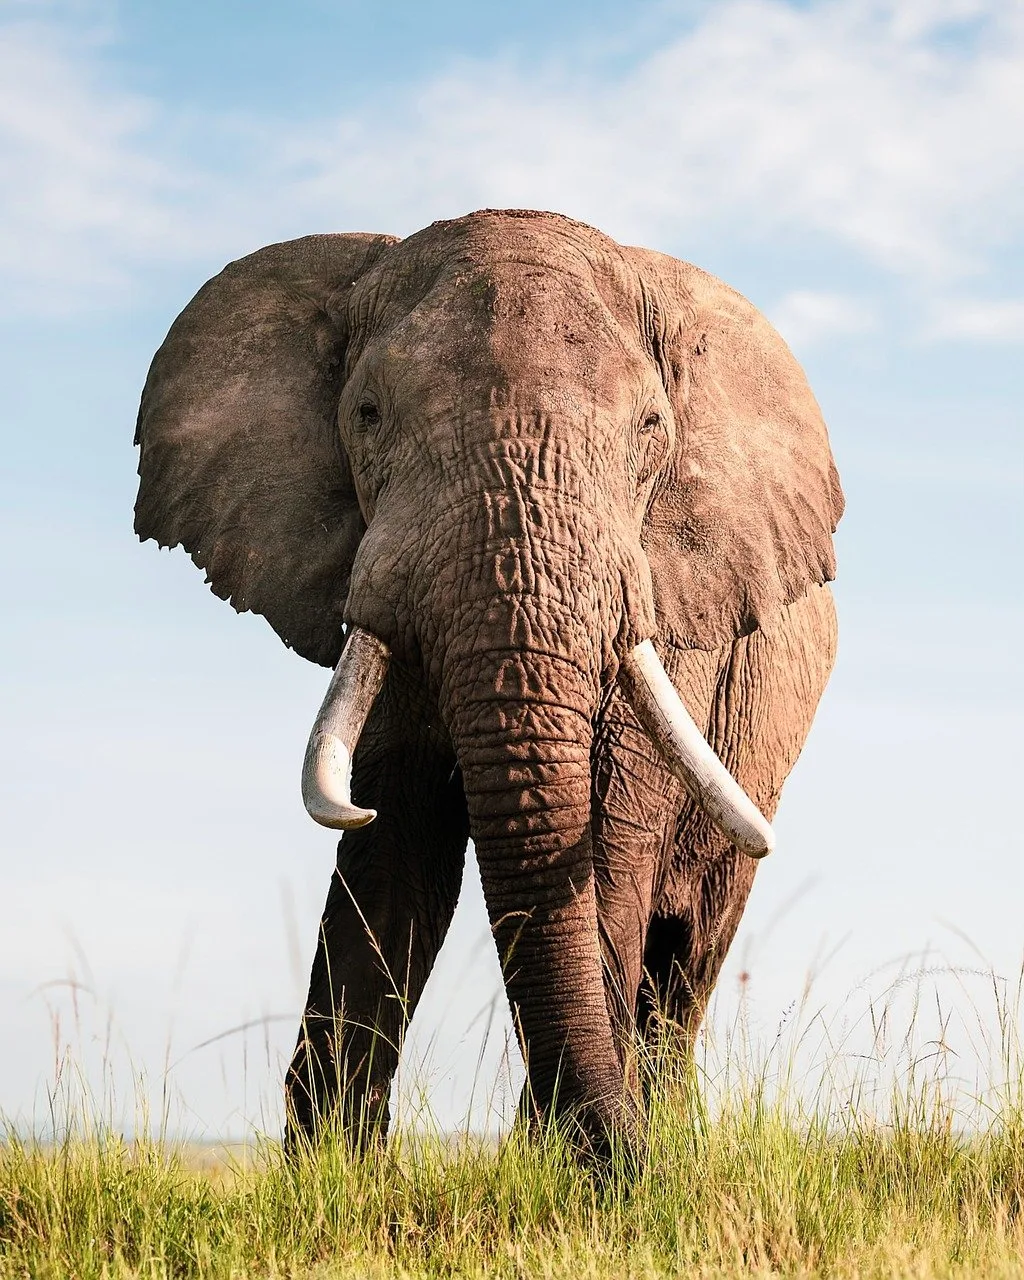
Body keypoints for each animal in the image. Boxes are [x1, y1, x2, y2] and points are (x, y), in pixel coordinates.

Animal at [133, 208, 843, 1160]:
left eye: (650, 428)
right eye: (367, 414)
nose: (612, 1155)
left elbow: (602, 839)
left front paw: (574, 1162)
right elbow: (396, 844)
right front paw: (332, 1170)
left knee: (689, 951)